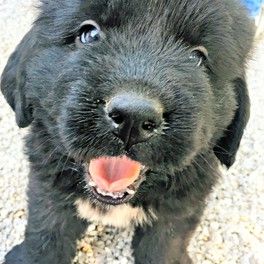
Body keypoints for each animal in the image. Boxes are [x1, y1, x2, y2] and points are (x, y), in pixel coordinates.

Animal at [1, 0, 255, 264]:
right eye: (89, 34)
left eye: (197, 56)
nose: (134, 117)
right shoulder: (49, 183)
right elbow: (47, 228)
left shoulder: (179, 207)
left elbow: (165, 245)